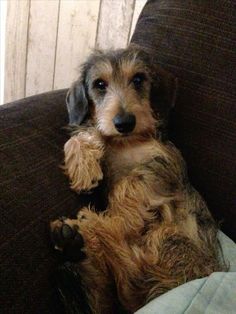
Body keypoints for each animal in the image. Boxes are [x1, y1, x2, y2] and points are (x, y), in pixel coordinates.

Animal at [50, 45, 224, 312]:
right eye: (100, 84)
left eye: (139, 79)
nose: (124, 123)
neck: (127, 143)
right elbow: (86, 133)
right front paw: (83, 167)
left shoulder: (163, 165)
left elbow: (129, 183)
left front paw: (122, 215)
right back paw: (75, 244)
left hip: (170, 237)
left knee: (130, 269)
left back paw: (92, 226)